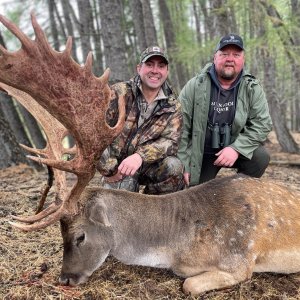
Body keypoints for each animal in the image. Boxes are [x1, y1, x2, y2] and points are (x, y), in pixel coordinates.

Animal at [0, 13, 300, 296]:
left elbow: (189, 284)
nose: (65, 279)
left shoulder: (239, 259)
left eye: (80, 236)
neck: (177, 246)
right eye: (60, 234)